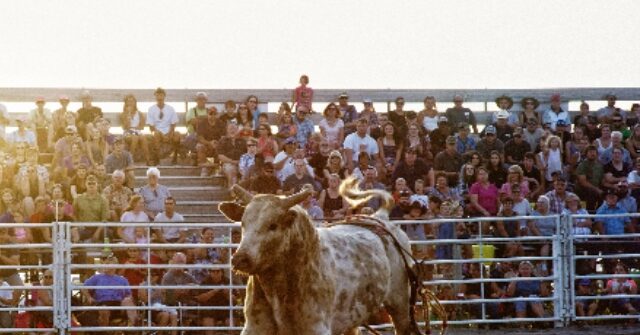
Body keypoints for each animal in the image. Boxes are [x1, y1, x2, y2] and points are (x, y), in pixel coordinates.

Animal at [220, 177, 418, 334]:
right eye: (243, 223)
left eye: (273, 225)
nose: (240, 259)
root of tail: (381, 217)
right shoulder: (254, 327)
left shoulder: (317, 328)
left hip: (400, 305)